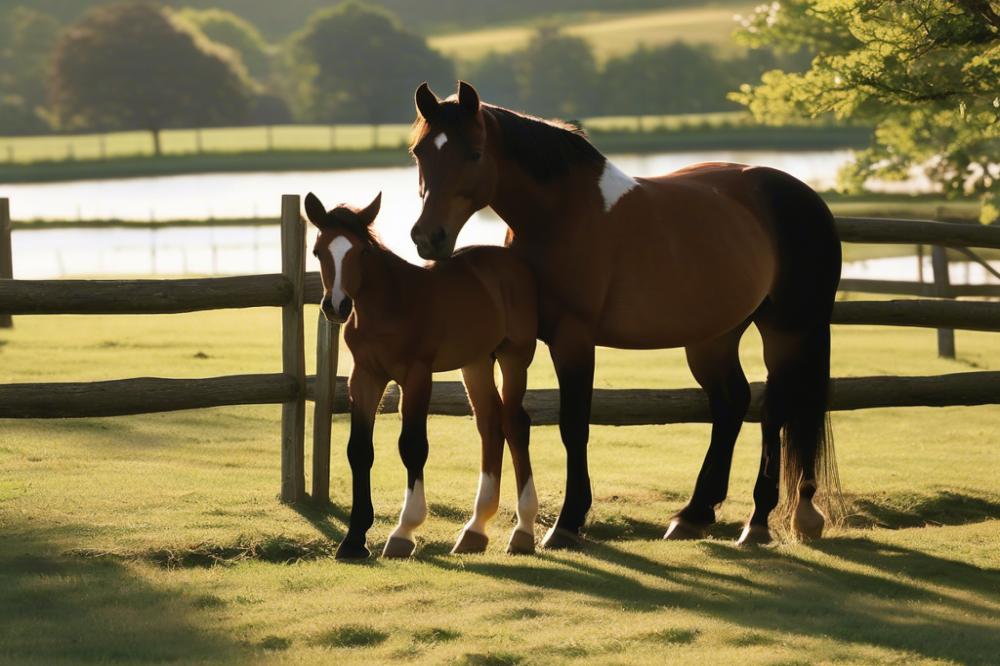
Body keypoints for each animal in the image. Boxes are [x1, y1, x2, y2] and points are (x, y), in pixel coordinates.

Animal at [304, 191, 540, 559]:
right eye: (317, 251)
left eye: (361, 251)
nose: (337, 306)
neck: (390, 305)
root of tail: (512, 263)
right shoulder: (365, 377)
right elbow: (359, 449)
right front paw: (354, 539)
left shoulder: (416, 376)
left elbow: (412, 446)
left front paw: (404, 531)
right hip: (476, 363)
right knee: (490, 425)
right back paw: (475, 530)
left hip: (514, 357)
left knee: (515, 425)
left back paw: (524, 530)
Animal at [407, 81, 842, 548]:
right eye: (419, 152)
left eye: (473, 153)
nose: (428, 237)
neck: (561, 213)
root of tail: (805, 198)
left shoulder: (574, 339)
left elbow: (573, 425)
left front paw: (567, 522)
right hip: (714, 337)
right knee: (732, 403)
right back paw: (694, 514)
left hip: (786, 331)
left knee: (775, 409)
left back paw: (760, 521)